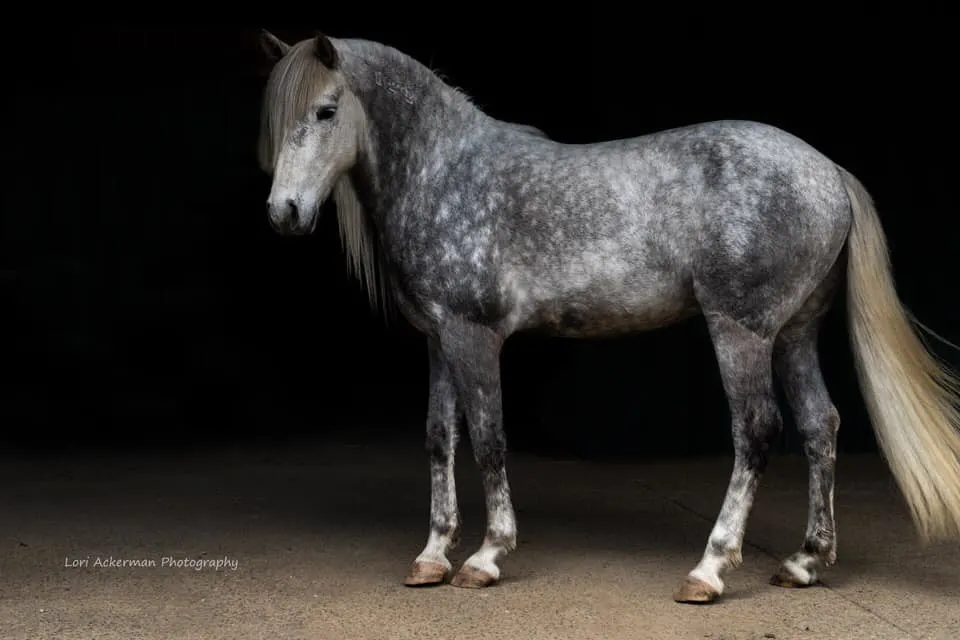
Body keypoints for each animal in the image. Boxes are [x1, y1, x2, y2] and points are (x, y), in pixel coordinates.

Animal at [255, 28, 960, 600]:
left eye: (325, 110)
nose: (284, 213)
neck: (446, 172)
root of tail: (828, 171)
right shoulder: (439, 339)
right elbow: (438, 438)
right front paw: (432, 556)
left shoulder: (474, 337)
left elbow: (487, 439)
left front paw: (486, 557)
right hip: (794, 333)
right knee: (820, 426)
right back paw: (804, 562)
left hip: (743, 331)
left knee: (757, 431)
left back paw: (709, 570)